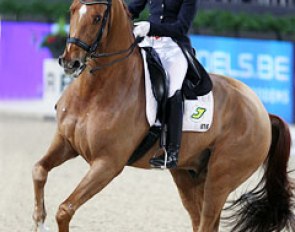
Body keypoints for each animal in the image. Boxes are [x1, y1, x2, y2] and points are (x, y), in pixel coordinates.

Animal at [32, 0, 295, 232]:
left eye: (97, 18)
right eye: (72, 10)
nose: (69, 62)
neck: (95, 92)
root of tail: (263, 112)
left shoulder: (107, 163)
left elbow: (65, 209)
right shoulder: (65, 143)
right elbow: (39, 170)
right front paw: (38, 220)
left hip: (221, 179)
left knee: (207, 220)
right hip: (187, 175)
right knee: (200, 221)